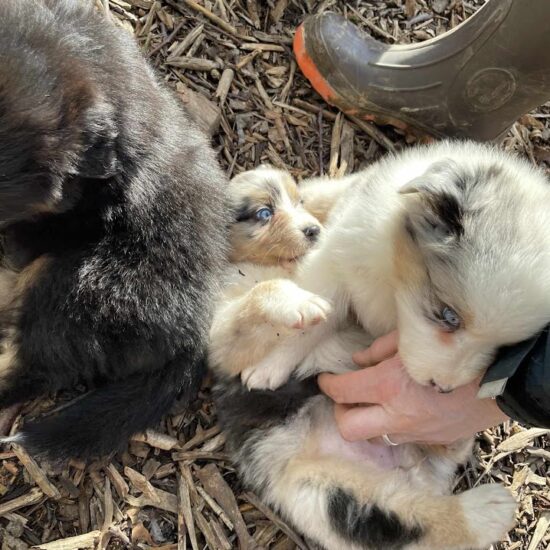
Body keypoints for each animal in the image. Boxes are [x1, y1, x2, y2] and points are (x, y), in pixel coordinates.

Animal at [212, 142, 550, 550]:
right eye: (447, 316)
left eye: (505, 349)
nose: (443, 390)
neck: (393, 282)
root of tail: (414, 470)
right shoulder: (332, 268)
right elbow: (296, 311)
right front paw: (270, 366)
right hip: (324, 491)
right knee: (408, 522)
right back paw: (489, 504)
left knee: (418, 521)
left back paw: (485, 500)